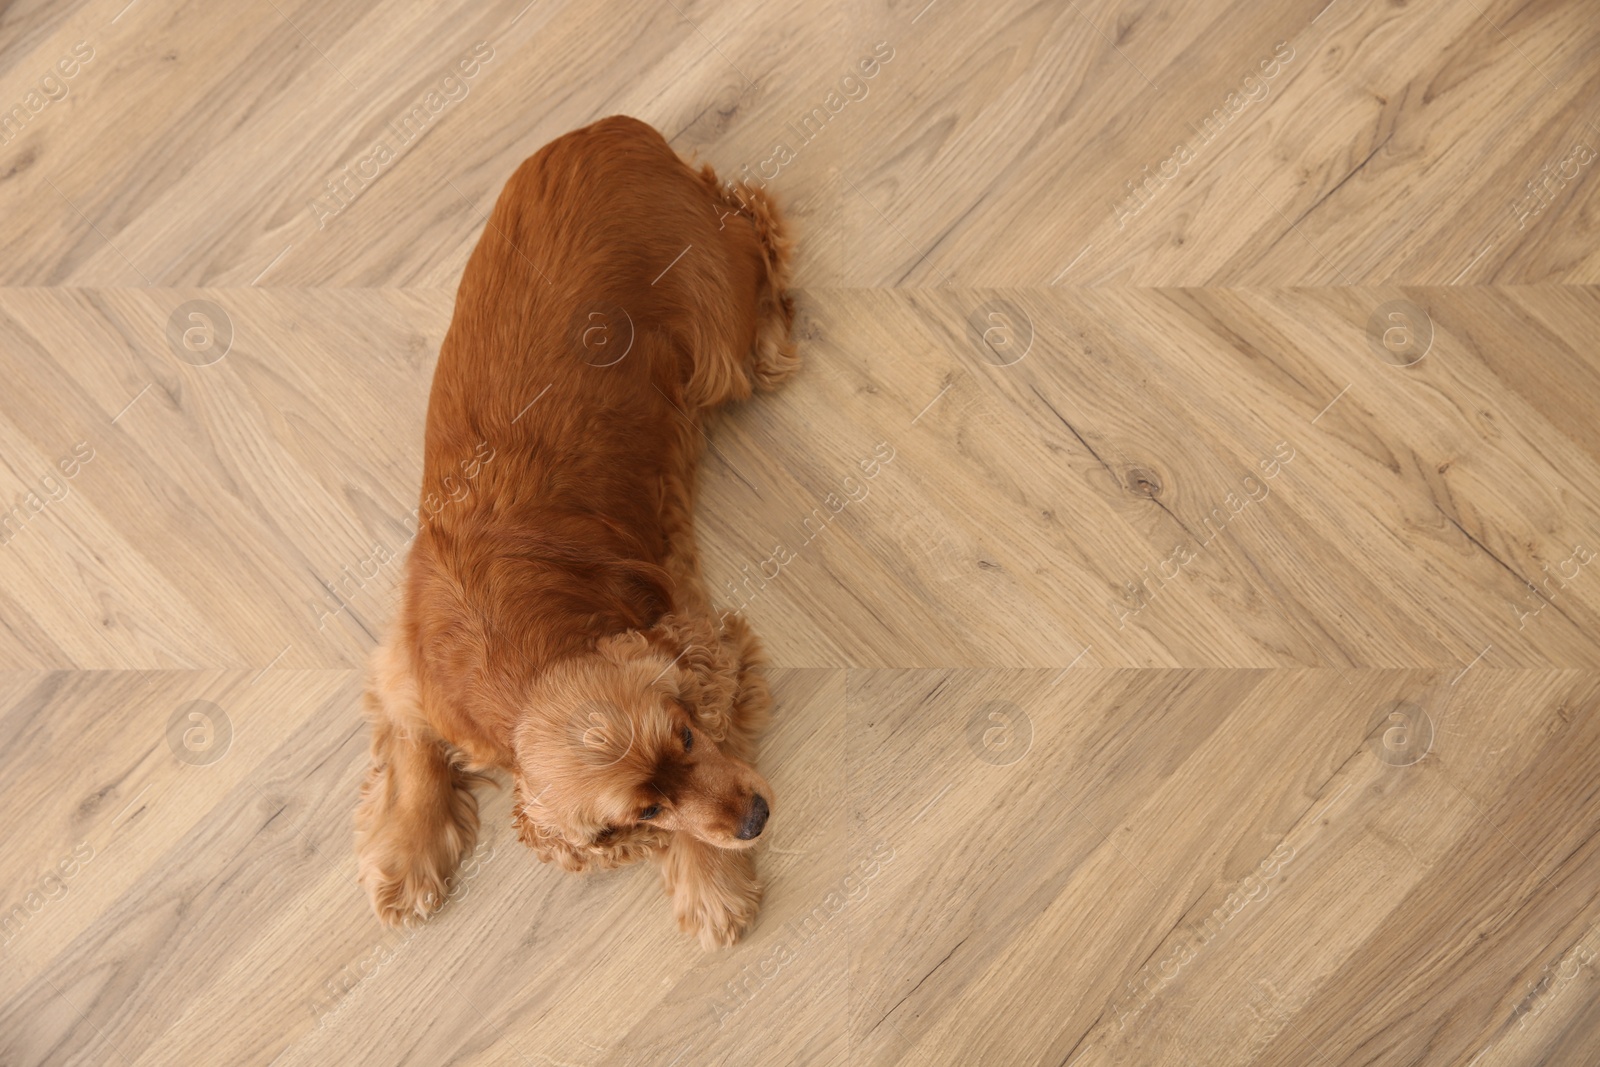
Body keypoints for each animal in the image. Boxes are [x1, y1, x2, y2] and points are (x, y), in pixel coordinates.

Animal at [355, 116, 793, 947]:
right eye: (645, 806)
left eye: (689, 737)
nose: (755, 816)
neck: (516, 644)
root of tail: (613, 130)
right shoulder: (405, 672)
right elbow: (413, 755)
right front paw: (405, 856)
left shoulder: (710, 635)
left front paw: (711, 883)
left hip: (717, 339)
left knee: (755, 218)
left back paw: (777, 323)